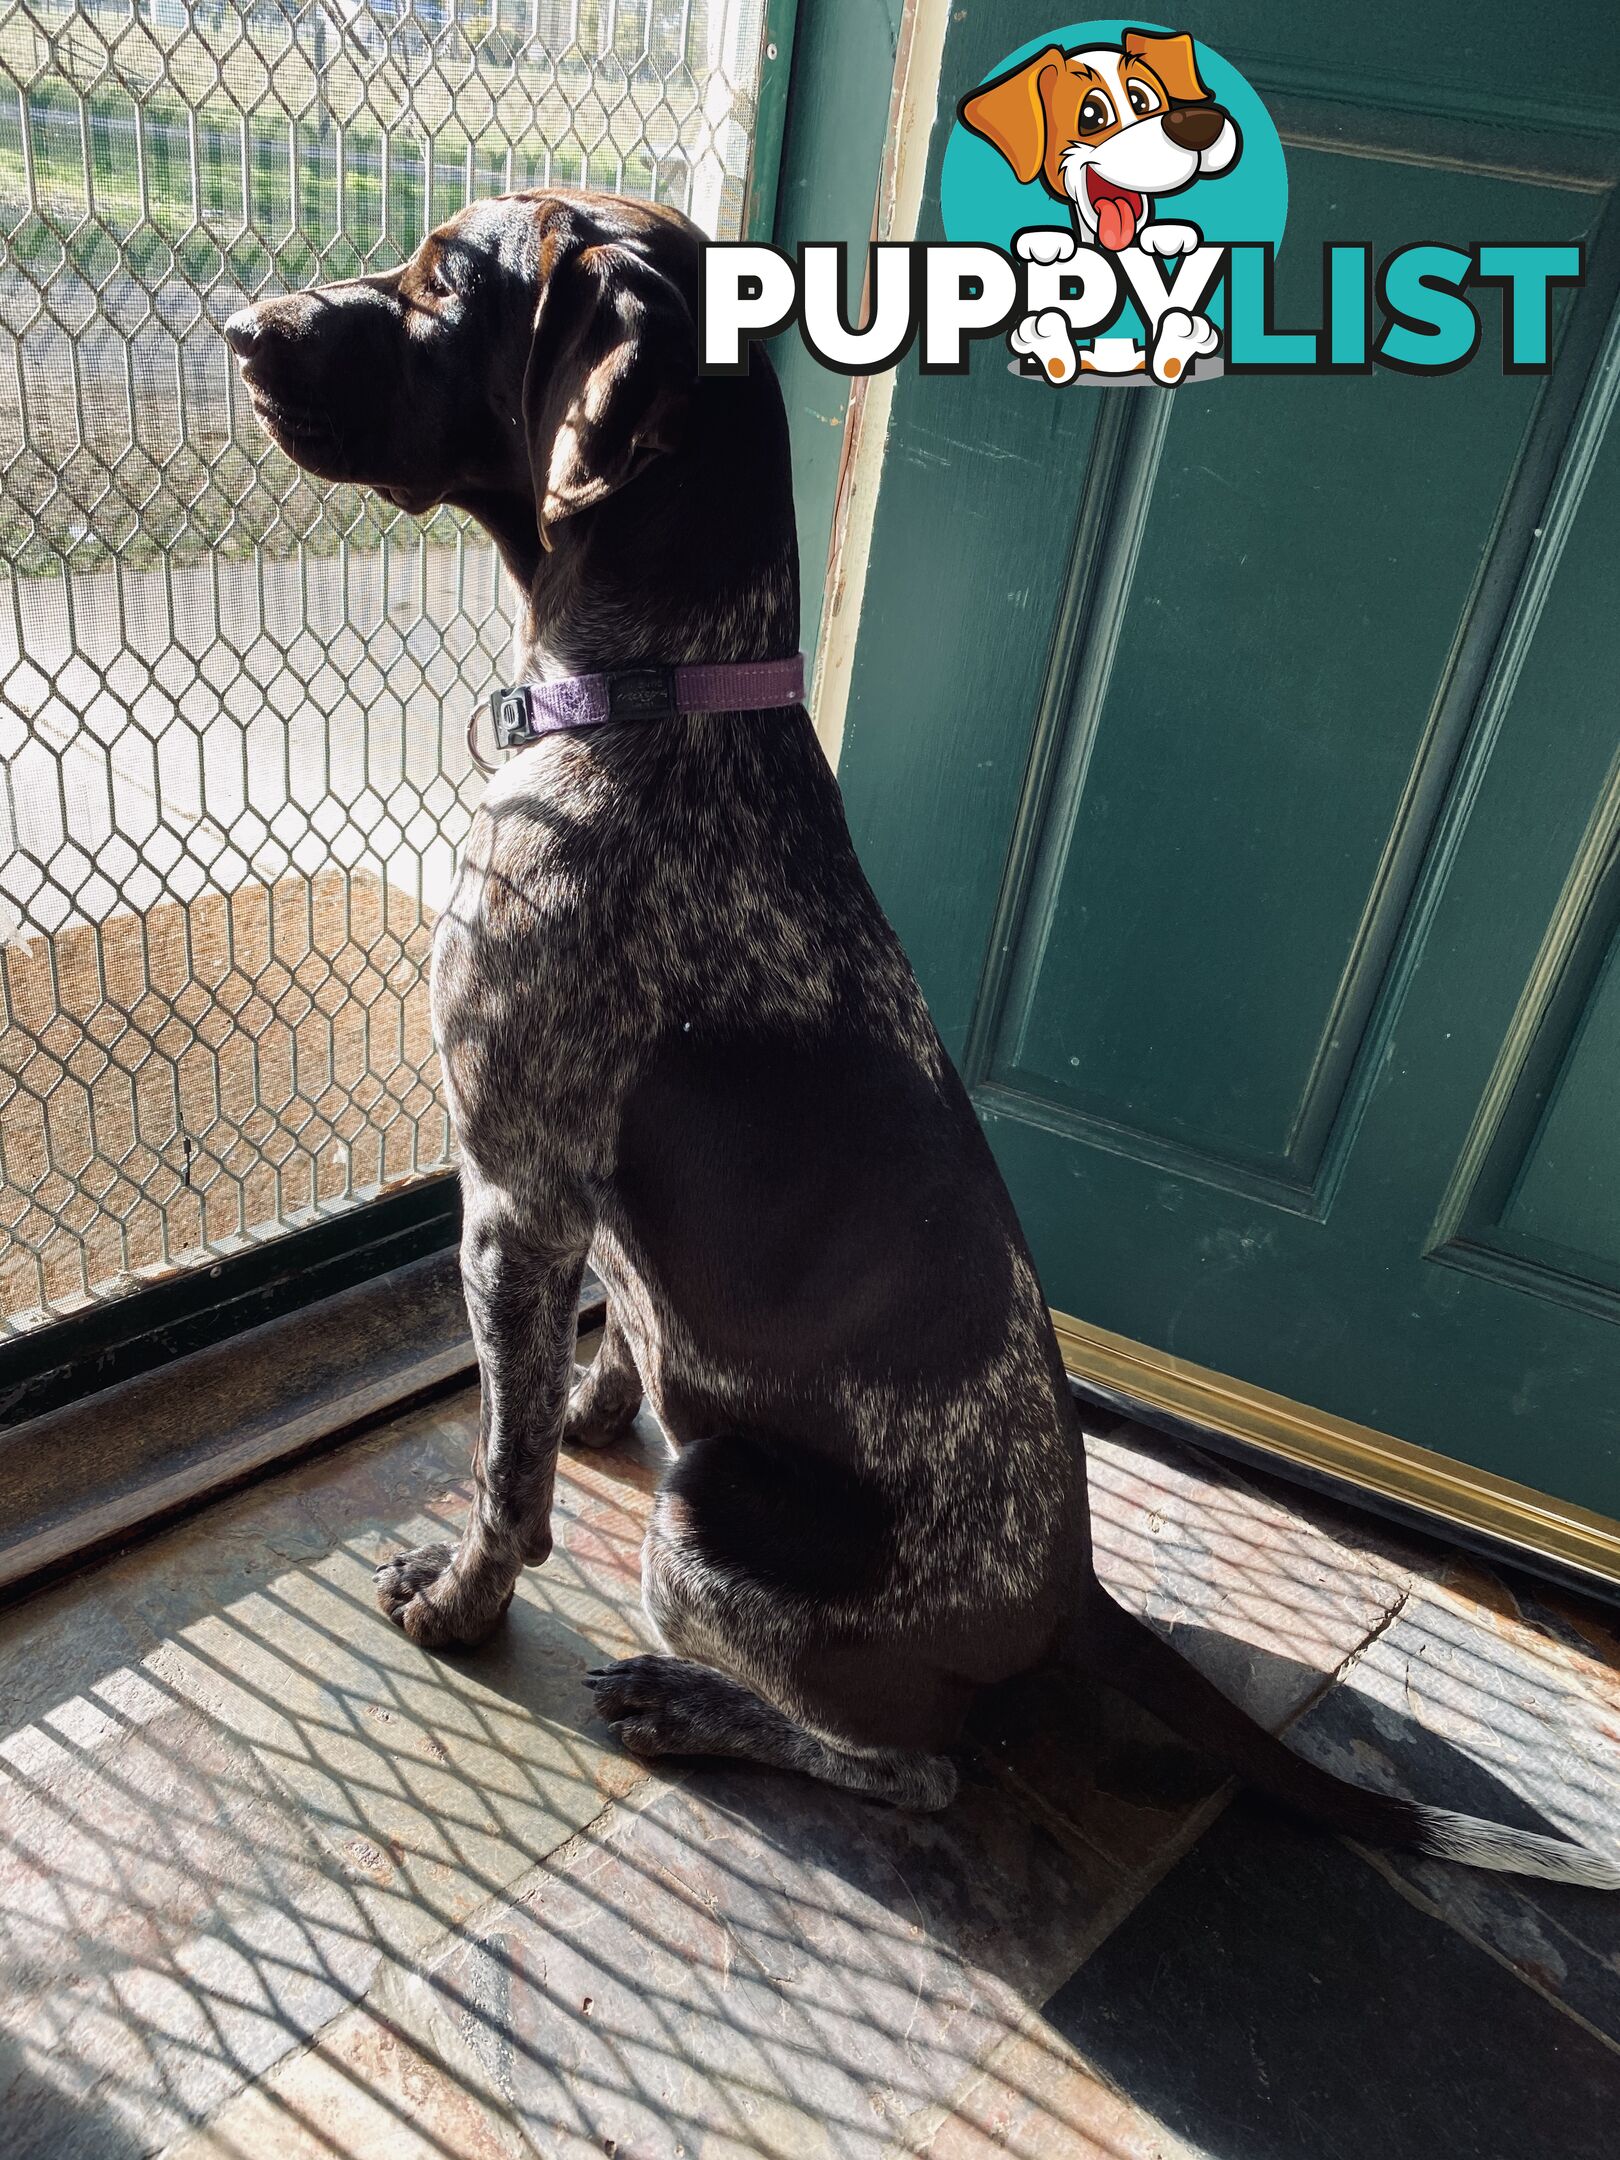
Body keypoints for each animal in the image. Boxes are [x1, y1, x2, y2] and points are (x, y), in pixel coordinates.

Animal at [225, 190, 1620, 1892]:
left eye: (444, 280)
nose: (241, 330)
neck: (667, 698)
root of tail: (1076, 1601)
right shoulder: (572, 1219)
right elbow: (604, 1341)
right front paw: (596, 1402)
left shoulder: (511, 1196)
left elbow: (506, 1475)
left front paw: (461, 1602)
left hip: (715, 1529)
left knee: (920, 1776)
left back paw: (690, 1705)